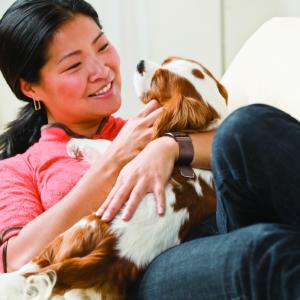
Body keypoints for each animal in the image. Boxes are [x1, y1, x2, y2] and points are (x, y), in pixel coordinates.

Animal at [0, 57, 227, 298]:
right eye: (166, 60)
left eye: (157, 81)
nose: (140, 63)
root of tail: (111, 251)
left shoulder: (131, 162)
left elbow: (107, 146)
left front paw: (76, 143)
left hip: (66, 236)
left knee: (30, 268)